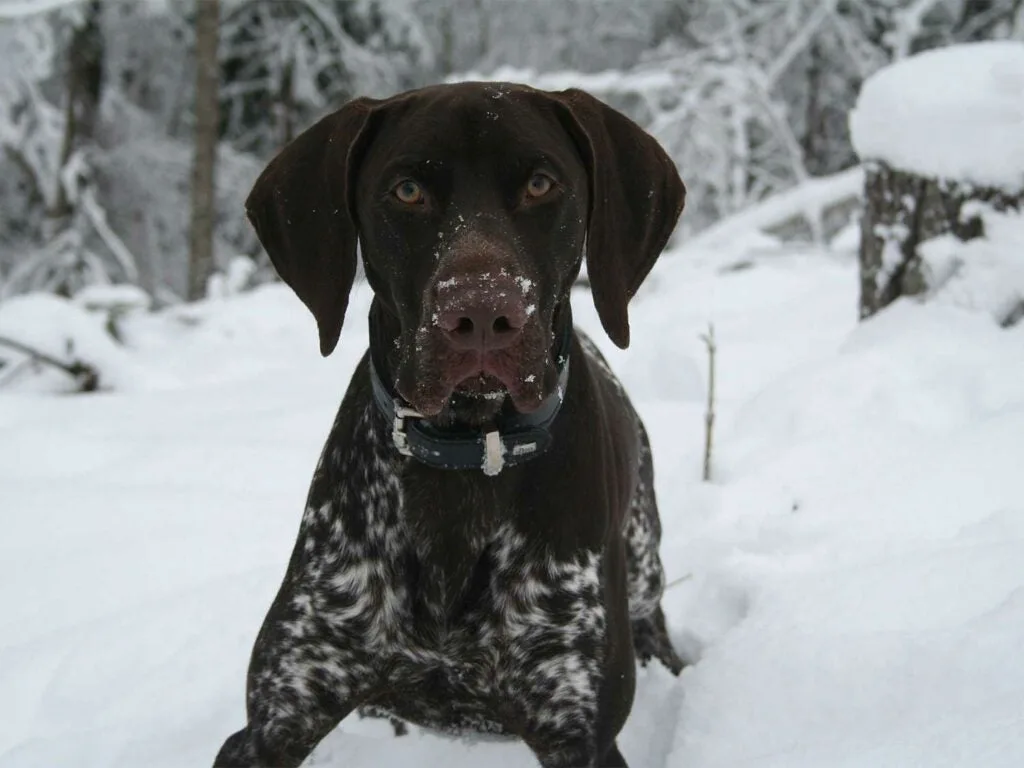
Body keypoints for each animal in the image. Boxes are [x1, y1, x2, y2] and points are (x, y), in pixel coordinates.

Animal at [211, 81, 684, 765]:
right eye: (407, 190)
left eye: (541, 183)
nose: (483, 312)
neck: (464, 454)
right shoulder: (272, 723)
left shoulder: (580, 737)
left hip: (645, 558)